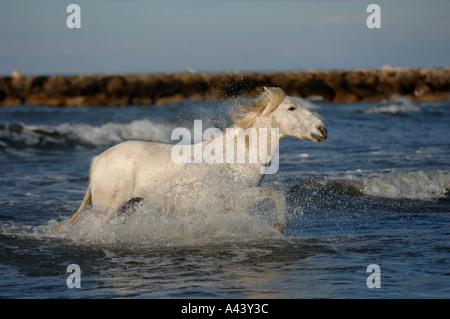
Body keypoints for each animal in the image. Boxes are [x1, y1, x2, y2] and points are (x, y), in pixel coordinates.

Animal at [54, 87, 326, 232]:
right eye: (291, 108)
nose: (322, 129)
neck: (241, 152)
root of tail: (98, 160)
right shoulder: (238, 197)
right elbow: (275, 194)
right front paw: (279, 226)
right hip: (106, 210)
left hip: (127, 208)